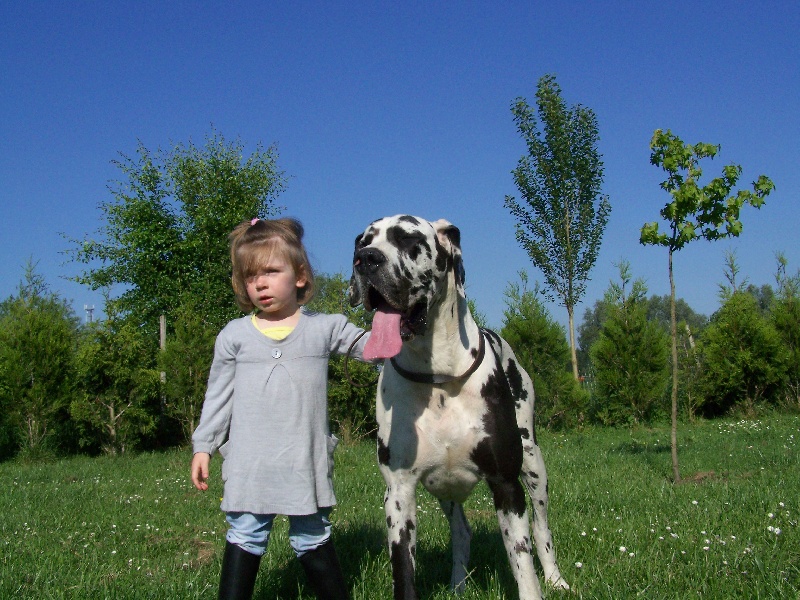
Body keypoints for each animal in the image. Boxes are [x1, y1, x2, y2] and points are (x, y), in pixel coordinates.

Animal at [350, 216, 568, 600]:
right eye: (363, 241)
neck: (438, 375)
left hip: (533, 464)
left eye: (408, 240)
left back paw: (557, 579)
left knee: (542, 528)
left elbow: (523, 562)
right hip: (445, 489)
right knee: (462, 532)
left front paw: (536, 582)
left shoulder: (506, 484)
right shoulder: (399, 494)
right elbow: (403, 569)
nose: (367, 259)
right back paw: (457, 585)